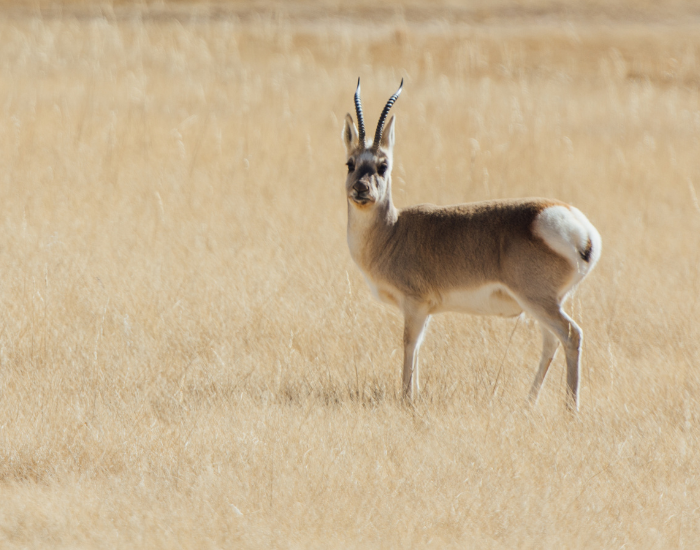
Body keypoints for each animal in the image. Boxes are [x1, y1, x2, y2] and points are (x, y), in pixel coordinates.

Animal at [342, 79, 601, 410]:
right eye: (350, 163)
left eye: (383, 165)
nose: (361, 190)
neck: (392, 231)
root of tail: (581, 228)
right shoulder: (425, 310)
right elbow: (418, 347)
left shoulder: (414, 304)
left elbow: (409, 344)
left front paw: (407, 399)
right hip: (545, 303)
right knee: (551, 342)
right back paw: (528, 402)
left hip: (538, 301)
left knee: (571, 335)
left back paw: (570, 409)